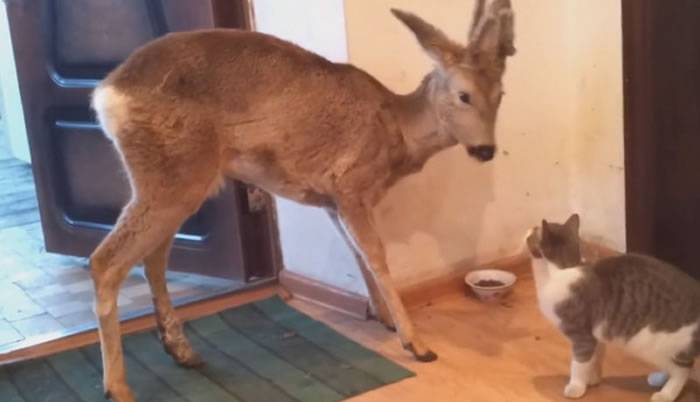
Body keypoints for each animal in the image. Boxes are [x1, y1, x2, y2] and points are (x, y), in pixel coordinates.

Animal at [89, 1, 516, 400]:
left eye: (501, 94)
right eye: (463, 95)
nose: (485, 150)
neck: (396, 130)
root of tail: (106, 94)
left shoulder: (331, 199)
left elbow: (358, 254)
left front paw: (384, 318)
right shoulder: (350, 184)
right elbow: (376, 255)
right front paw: (416, 343)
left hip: (179, 182)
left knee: (152, 258)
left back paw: (181, 351)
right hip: (171, 173)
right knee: (105, 261)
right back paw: (118, 387)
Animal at [528, 215, 696, 400]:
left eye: (531, 233)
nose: (527, 231)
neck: (563, 268)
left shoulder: (582, 336)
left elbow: (579, 364)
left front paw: (576, 387)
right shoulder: (596, 336)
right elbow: (595, 358)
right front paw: (592, 379)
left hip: (655, 346)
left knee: (683, 371)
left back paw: (666, 394)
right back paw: (658, 379)